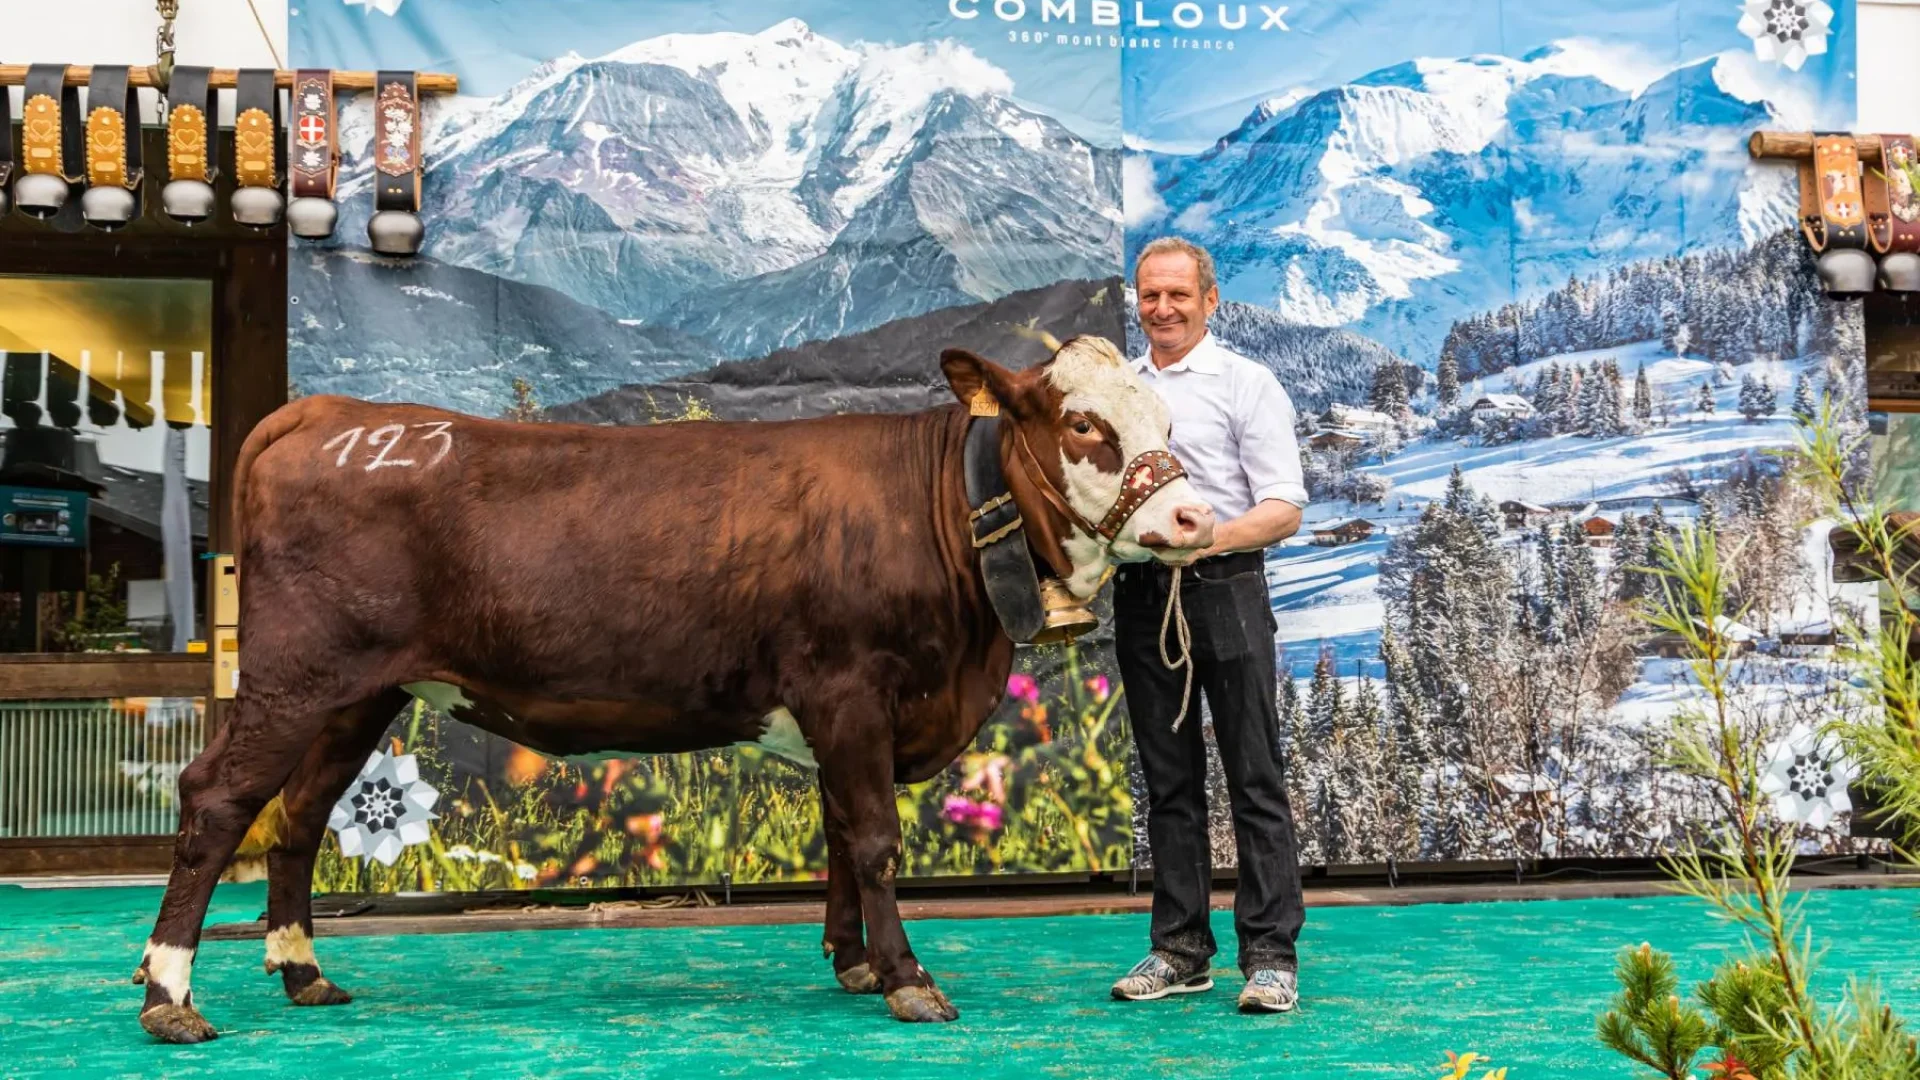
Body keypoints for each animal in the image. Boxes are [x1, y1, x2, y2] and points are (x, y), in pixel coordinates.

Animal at [131, 332, 1213, 1037]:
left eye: (1169, 417)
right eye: (1085, 424)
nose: (1193, 519)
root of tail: (332, 414)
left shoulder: (839, 715)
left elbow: (838, 836)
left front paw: (855, 962)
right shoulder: (851, 687)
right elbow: (874, 839)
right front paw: (909, 978)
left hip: (359, 692)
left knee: (300, 814)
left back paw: (302, 972)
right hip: (295, 674)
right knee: (218, 798)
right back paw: (170, 996)